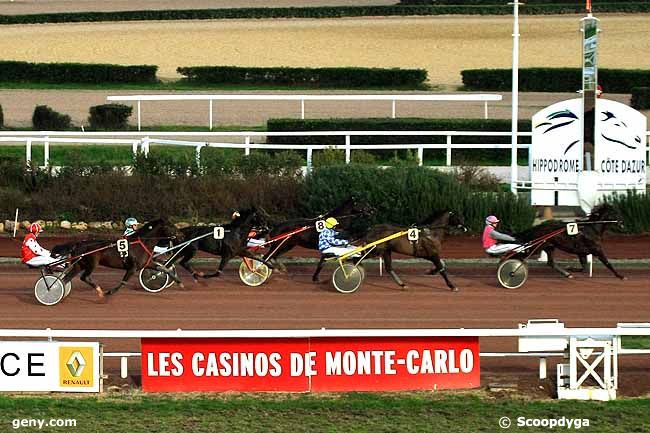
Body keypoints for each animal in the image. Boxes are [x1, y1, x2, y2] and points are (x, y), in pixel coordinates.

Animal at [50, 219, 180, 296]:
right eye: (171, 226)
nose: (181, 234)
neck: (141, 243)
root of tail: (78, 244)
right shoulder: (132, 268)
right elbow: (123, 282)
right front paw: (109, 292)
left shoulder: (146, 263)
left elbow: (163, 269)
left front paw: (179, 282)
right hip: (92, 263)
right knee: (84, 277)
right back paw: (99, 291)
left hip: (79, 264)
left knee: (66, 278)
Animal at [312, 209, 464, 290]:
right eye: (458, 217)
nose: (465, 228)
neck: (431, 233)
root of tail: (371, 229)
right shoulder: (433, 254)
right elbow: (442, 268)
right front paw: (452, 286)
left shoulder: (432, 254)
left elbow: (442, 265)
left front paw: (432, 271)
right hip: (375, 250)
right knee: (357, 258)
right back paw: (348, 274)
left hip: (385, 251)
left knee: (388, 268)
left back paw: (402, 284)